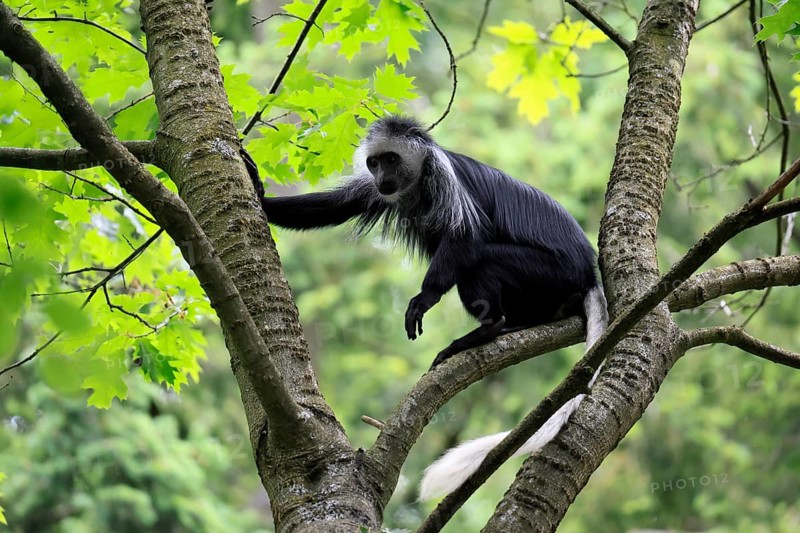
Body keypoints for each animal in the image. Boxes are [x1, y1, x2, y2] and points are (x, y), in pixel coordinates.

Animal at [245, 116, 608, 496]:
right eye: (374, 163)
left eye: (391, 159)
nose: (382, 177)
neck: (417, 180)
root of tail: (587, 273)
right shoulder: (377, 190)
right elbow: (336, 205)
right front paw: (259, 191)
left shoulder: (446, 182)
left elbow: (464, 236)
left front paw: (424, 298)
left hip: (549, 269)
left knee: (482, 260)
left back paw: (488, 328)